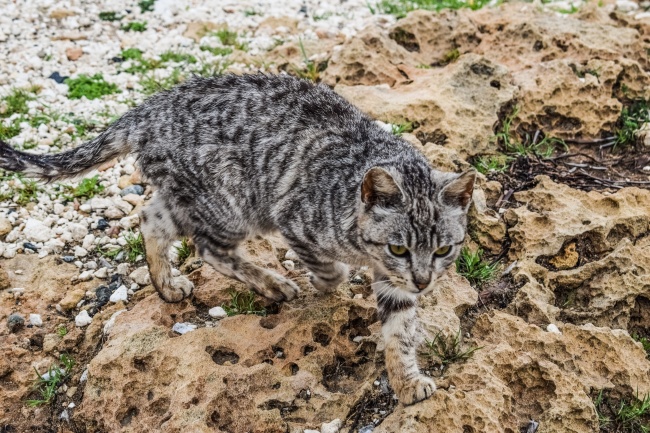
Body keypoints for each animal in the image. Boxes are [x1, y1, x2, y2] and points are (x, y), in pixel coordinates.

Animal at [1, 73, 476, 404]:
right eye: (398, 247)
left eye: (443, 249)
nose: (423, 281)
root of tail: (147, 109)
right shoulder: (294, 219)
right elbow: (332, 269)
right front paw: (323, 282)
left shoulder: (397, 285)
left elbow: (400, 333)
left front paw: (406, 381)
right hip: (228, 204)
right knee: (206, 246)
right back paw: (272, 283)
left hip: (189, 198)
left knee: (150, 217)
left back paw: (166, 284)